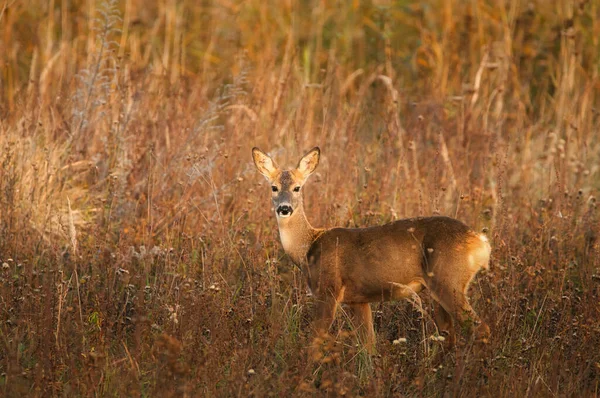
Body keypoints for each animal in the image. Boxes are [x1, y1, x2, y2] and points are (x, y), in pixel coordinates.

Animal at [251, 146, 490, 352]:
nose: (284, 208)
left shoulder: (328, 288)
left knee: (480, 328)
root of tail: (480, 241)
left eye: (297, 188)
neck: (309, 247)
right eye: (274, 187)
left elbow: (316, 339)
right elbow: (368, 344)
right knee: (449, 333)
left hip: (448, 280)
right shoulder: (358, 299)